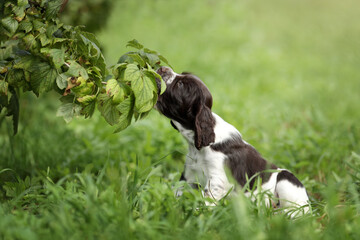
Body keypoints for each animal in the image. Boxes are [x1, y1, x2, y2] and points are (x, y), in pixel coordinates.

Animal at [155, 66, 310, 216]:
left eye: (180, 84)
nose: (162, 68)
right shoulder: (189, 175)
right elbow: (178, 191)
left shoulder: (217, 180)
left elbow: (206, 201)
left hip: (286, 179)